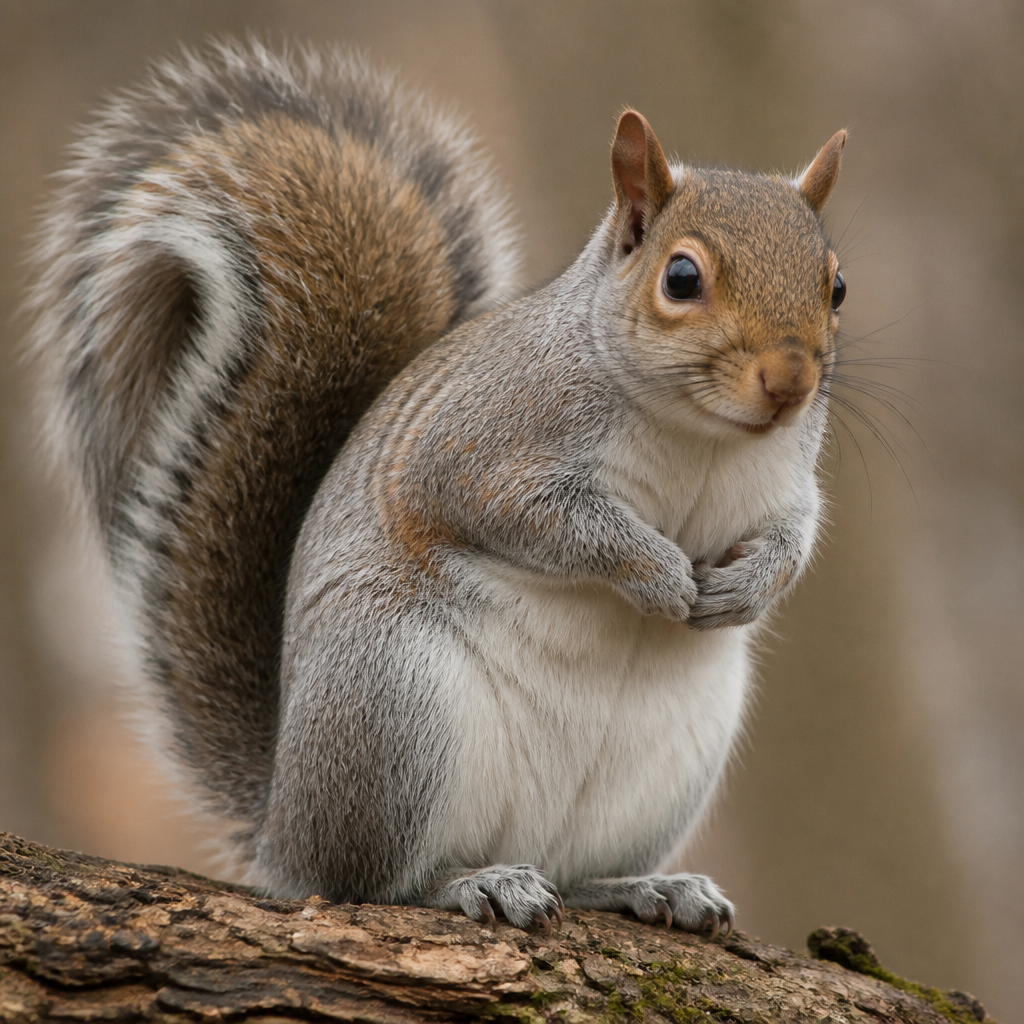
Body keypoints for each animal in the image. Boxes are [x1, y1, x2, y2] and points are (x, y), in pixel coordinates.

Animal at [29, 40, 846, 934]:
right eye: (683, 279)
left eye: (837, 286)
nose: (790, 382)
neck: (704, 437)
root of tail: (281, 827)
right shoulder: (480, 449)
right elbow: (550, 521)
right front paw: (656, 571)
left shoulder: (787, 480)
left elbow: (796, 534)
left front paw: (747, 587)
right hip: (395, 704)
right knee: (370, 879)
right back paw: (473, 882)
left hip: (669, 764)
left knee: (573, 874)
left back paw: (647, 887)